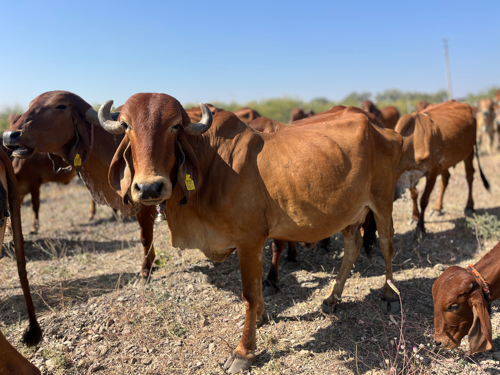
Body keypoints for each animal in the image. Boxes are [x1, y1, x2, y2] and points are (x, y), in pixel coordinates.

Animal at [94, 93, 402, 374]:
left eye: (175, 126)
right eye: (126, 125)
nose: (149, 188)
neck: (212, 161)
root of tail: (384, 130)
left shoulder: (249, 240)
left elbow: (249, 295)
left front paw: (244, 352)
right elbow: (257, 288)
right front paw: (262, 316)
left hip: (382, 201)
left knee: (388, 243)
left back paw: (388, 291)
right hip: (350, 211)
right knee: (353, 246)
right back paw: (332, 299)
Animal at [394, 100, 488, 235]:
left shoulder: (432, 171)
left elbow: (424, 199)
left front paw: (420, 226)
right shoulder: (408, 173)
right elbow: (414, 195)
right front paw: (415, 216)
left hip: (469, 152)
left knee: (469, 176)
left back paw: (469, 206)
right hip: (445, 162)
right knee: (446, 178)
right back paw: (438, 208)